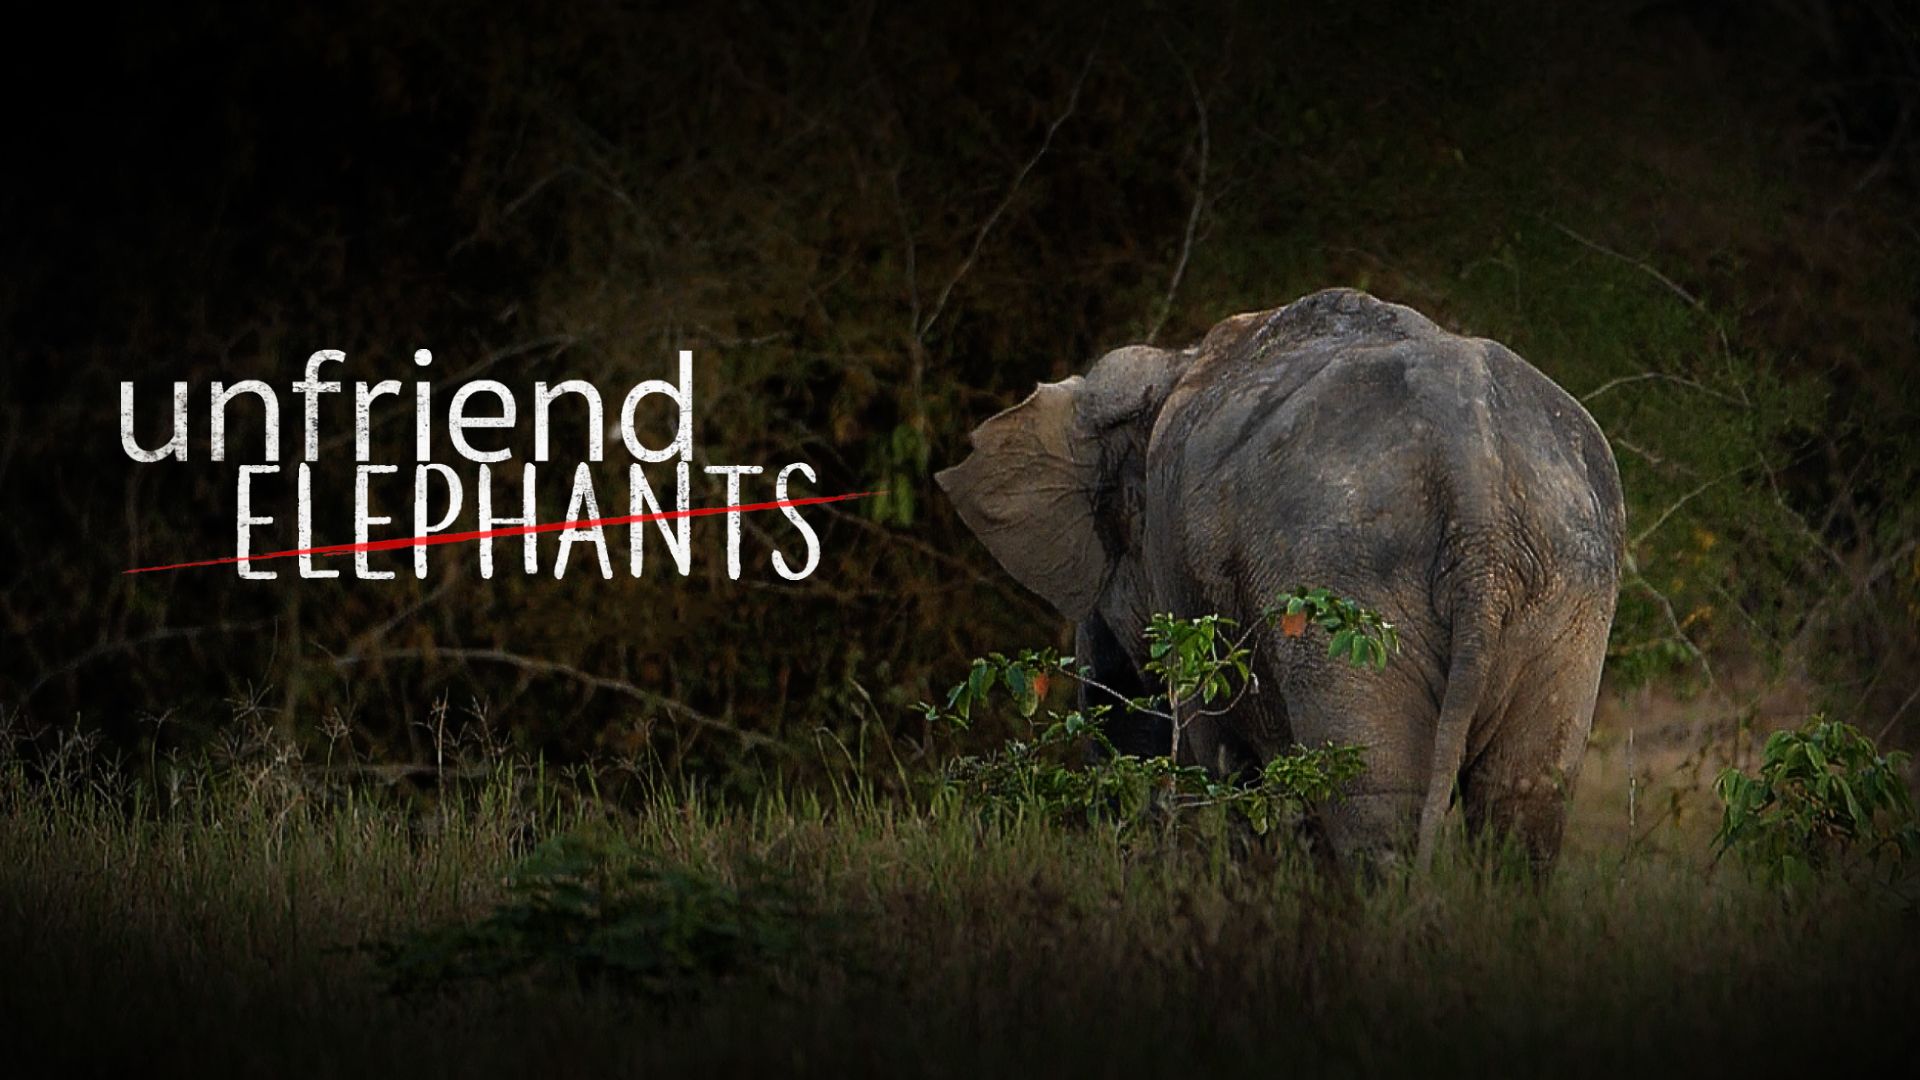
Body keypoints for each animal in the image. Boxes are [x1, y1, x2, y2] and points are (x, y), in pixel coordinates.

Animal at [936, 288, 1624, 868]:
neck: (1176, 363)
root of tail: (1474, 480)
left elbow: (1224, 753)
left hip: (1348, 584)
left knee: (1374, 797)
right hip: (1568, 582)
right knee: (1522, 798)